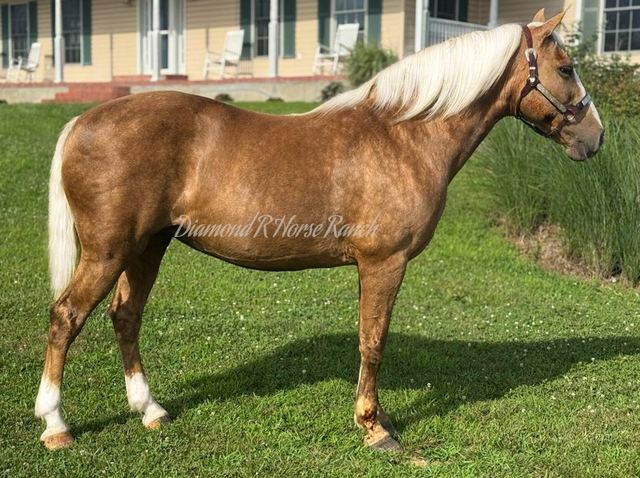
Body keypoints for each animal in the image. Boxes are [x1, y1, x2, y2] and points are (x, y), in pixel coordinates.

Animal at [35, 9, 604, 451]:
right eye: (567, 68)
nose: (595, 138)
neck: (404, 135)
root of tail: (81, 122)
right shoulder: (383, 263)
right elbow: (373, 341)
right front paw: (375, 428)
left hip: (146, 247)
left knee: (125, 316)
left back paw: (150, 409)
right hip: (108, 251)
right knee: (66, 316)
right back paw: (55, 425)